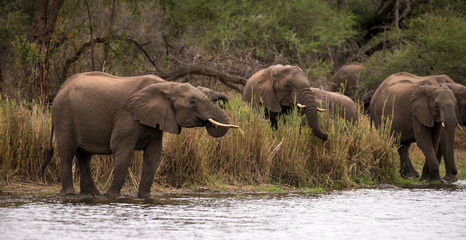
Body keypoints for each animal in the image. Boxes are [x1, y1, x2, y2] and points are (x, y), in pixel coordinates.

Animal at [38, 71, 238, 199]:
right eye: (192, 101)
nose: (224, 102)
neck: (166, 85)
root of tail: (61, 88)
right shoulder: (127, 116)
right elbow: (121, 150)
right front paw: (112, 197)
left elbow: (154, 155)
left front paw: (145, 197)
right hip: (64, 114)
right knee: (67, 152)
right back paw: (70, 194)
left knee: (84, 155)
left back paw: (92, 194)